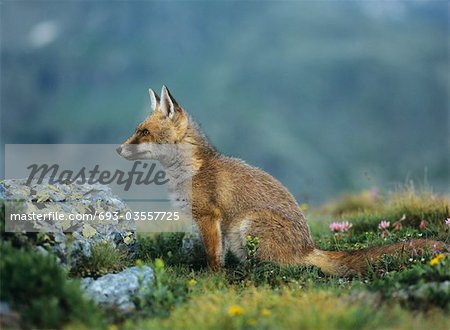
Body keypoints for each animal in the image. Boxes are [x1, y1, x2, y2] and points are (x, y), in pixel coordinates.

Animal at [118, 85, 448, 276]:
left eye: (143, 132)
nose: (118, 149)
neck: (189, 169)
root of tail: (308, 247)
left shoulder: (208, 216)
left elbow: (214, 257)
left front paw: (212, 280)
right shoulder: (211, 222)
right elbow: (217, 254)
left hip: (248, 225)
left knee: (285, 268)